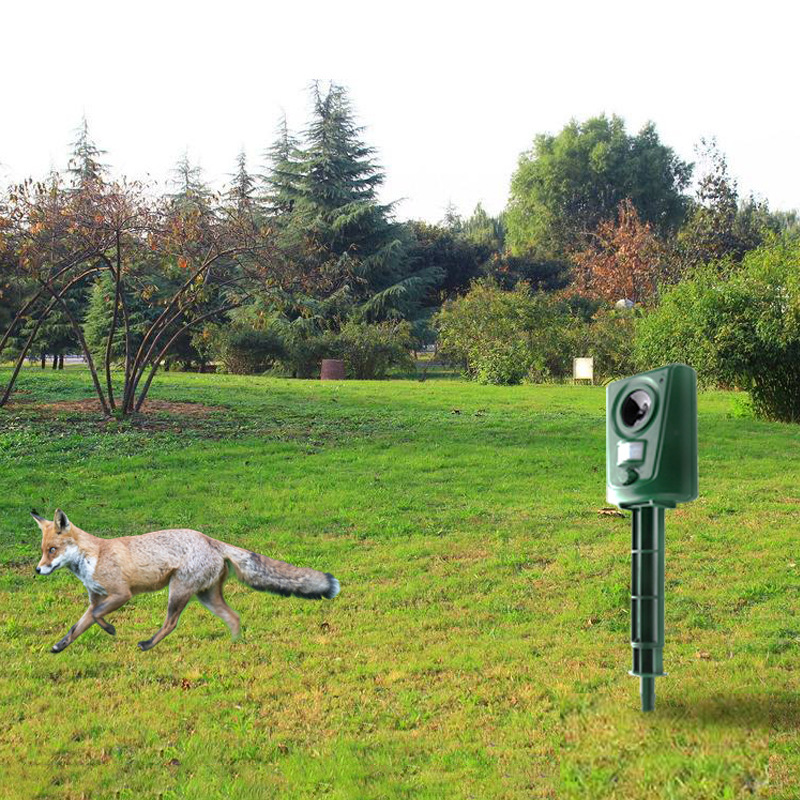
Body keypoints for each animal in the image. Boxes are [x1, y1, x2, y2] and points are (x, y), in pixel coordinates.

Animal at [32, 512, 340, 648]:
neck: (93, 557)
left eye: (53, 550)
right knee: (234, 616)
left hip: (177, 592)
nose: (37, 570)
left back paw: (148, 644)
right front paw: (60, 646)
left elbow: (96, 617)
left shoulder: (121, 594)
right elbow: (78, 625)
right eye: (43, 550)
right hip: (206, 596)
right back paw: (235, 645)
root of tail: (210, 540)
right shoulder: (95, 597)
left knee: (171, 623)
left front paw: (110, 629)